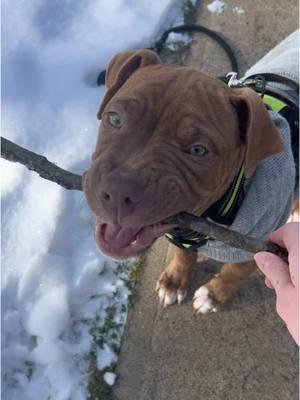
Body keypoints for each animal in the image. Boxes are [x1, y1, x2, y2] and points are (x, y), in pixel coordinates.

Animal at [84, 49, 284, 312]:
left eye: (198, 150)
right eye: (115, 120)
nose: (117, 193)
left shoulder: (257, 249)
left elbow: (234, 273)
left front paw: (214, 295)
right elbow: (183, 254)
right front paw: (175, 281)